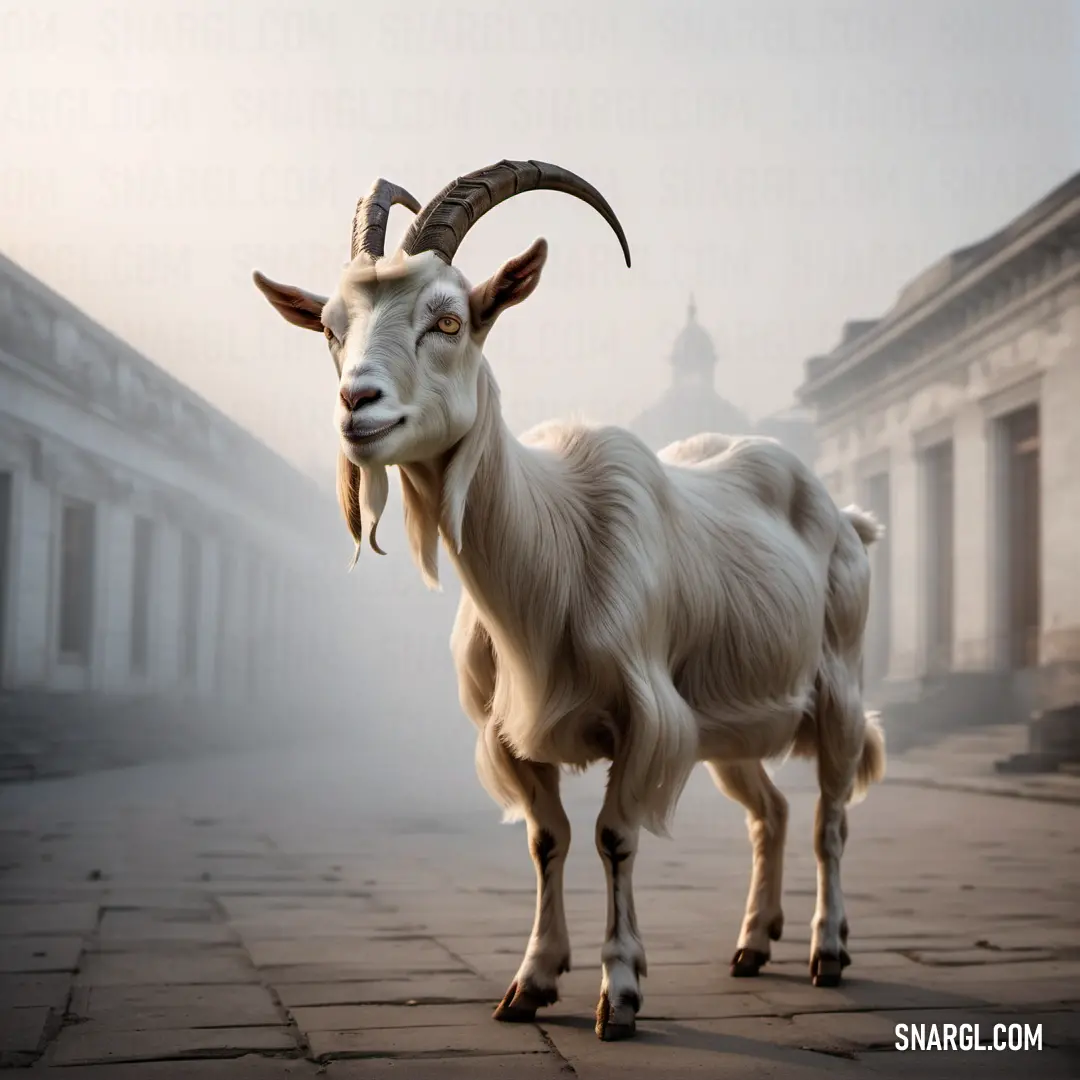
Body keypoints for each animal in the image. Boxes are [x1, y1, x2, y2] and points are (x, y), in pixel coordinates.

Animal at [252, 157, 885, 1036]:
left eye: (448, 321)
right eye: (330, 329)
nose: (357, 405)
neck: (551, 549)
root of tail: (847, 516)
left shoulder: (647, 717)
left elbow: (614, 837)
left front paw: (619, 993)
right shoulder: (511, 733)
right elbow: (545, 840)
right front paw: (531, 981)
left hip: (838, 688)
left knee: (830, 815)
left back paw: (828, 950)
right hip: (727, 719)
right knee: (772, 813)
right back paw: (754, 943)